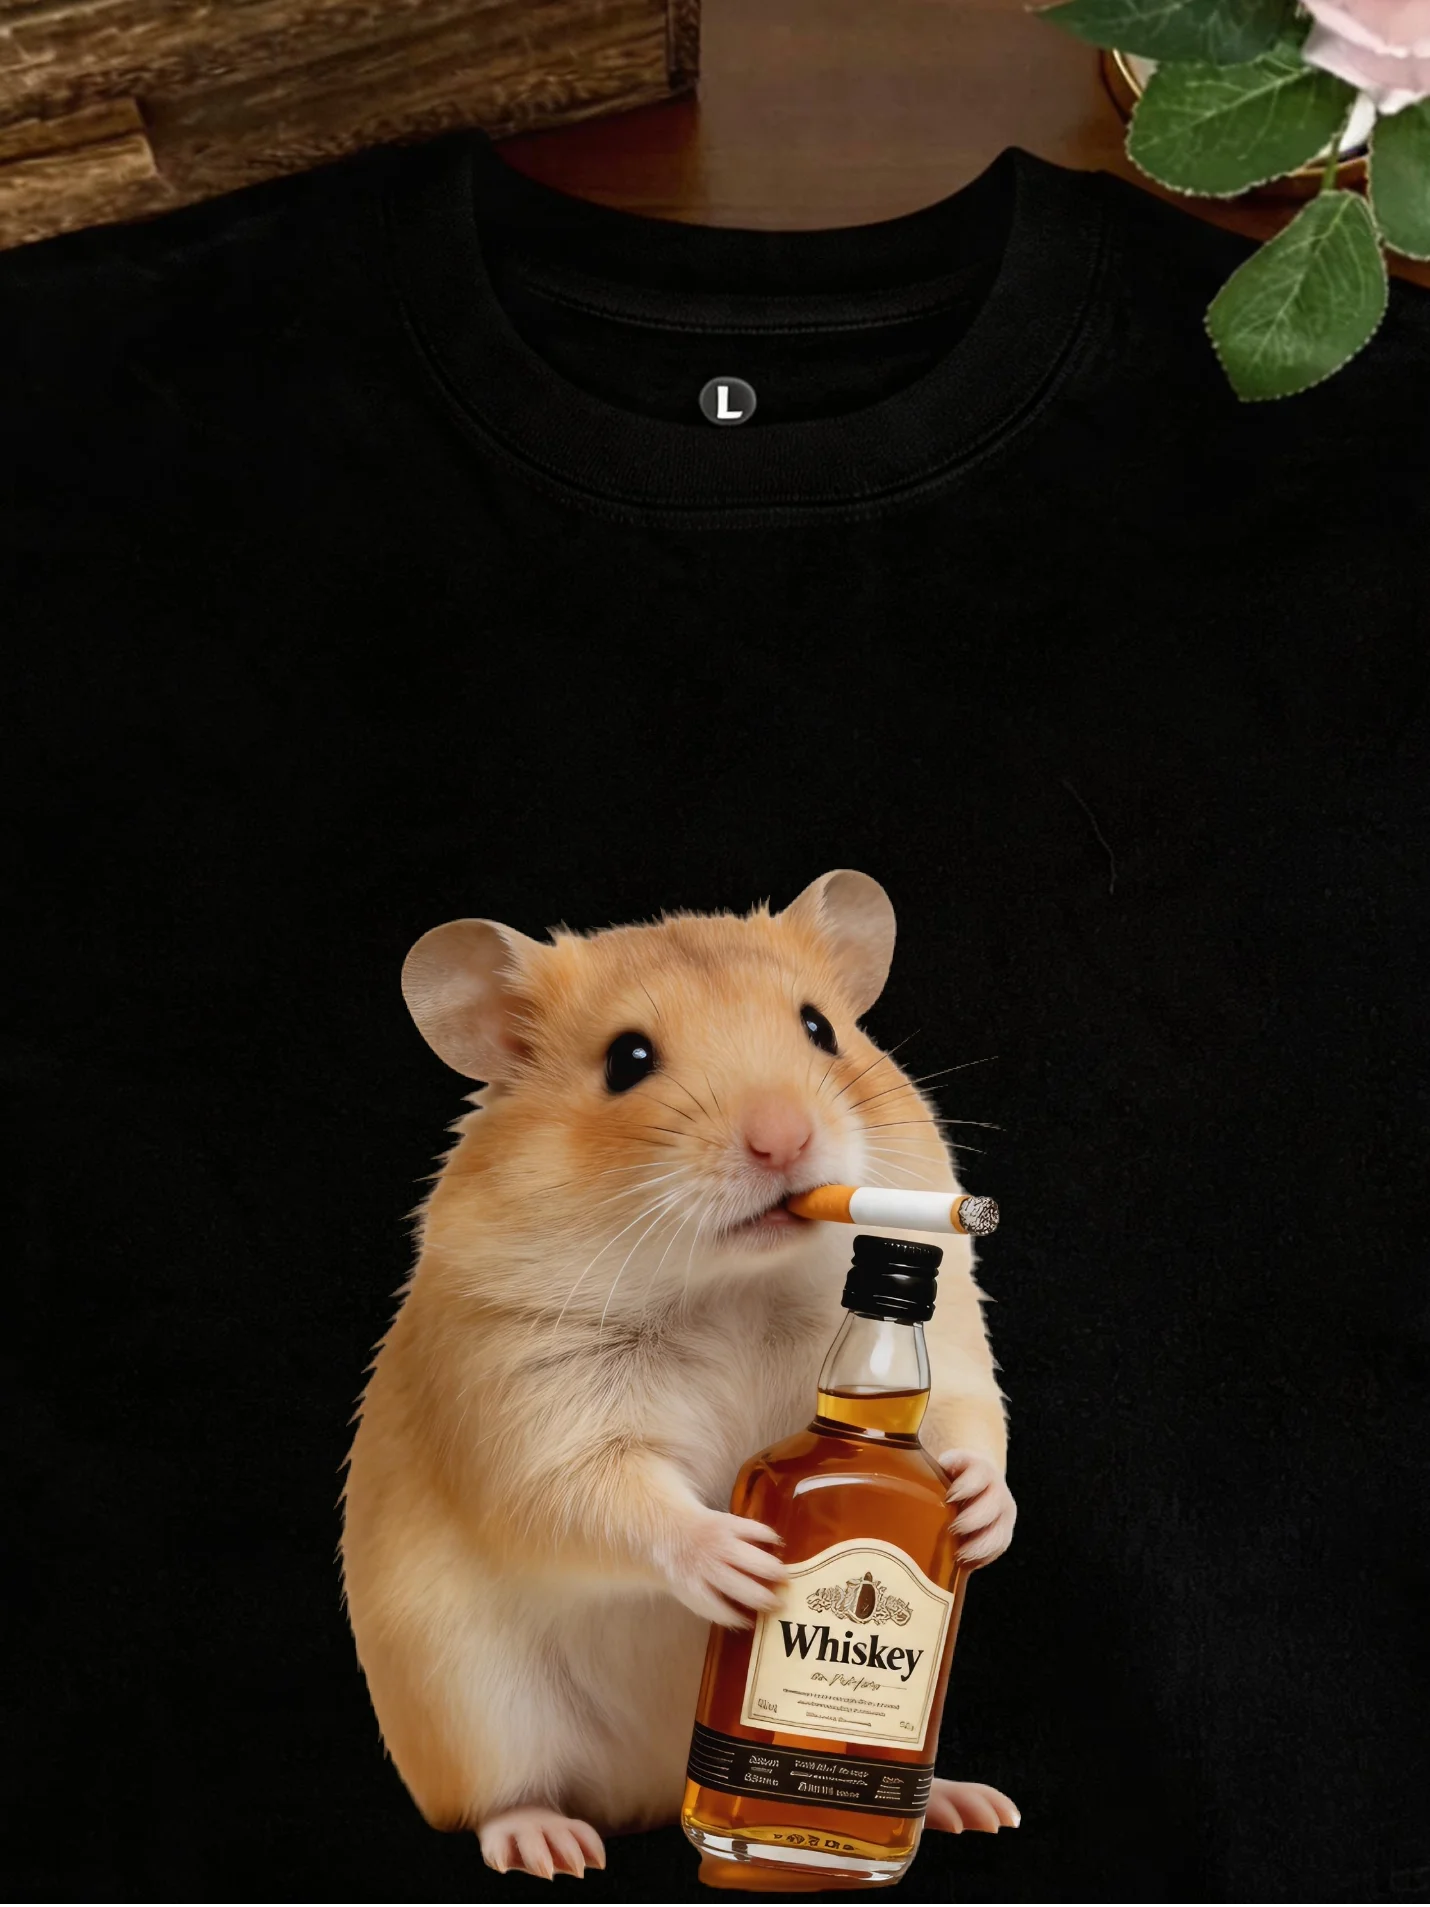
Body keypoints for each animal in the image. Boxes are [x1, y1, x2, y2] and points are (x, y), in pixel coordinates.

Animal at [340, 869, 1019, 1879]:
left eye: (821, 1027)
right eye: (626, 1059)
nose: (783, 1140)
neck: (734, 1289)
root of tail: (654, 1796)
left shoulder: (963, 1345)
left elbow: (975, 1427)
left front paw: (976, 1511)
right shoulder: (526, 1407)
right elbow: (609, 1500)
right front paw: (745, 1562)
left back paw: (963, 1803)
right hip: (475, 1709)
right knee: (499, 1800)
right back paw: (551, 1845)